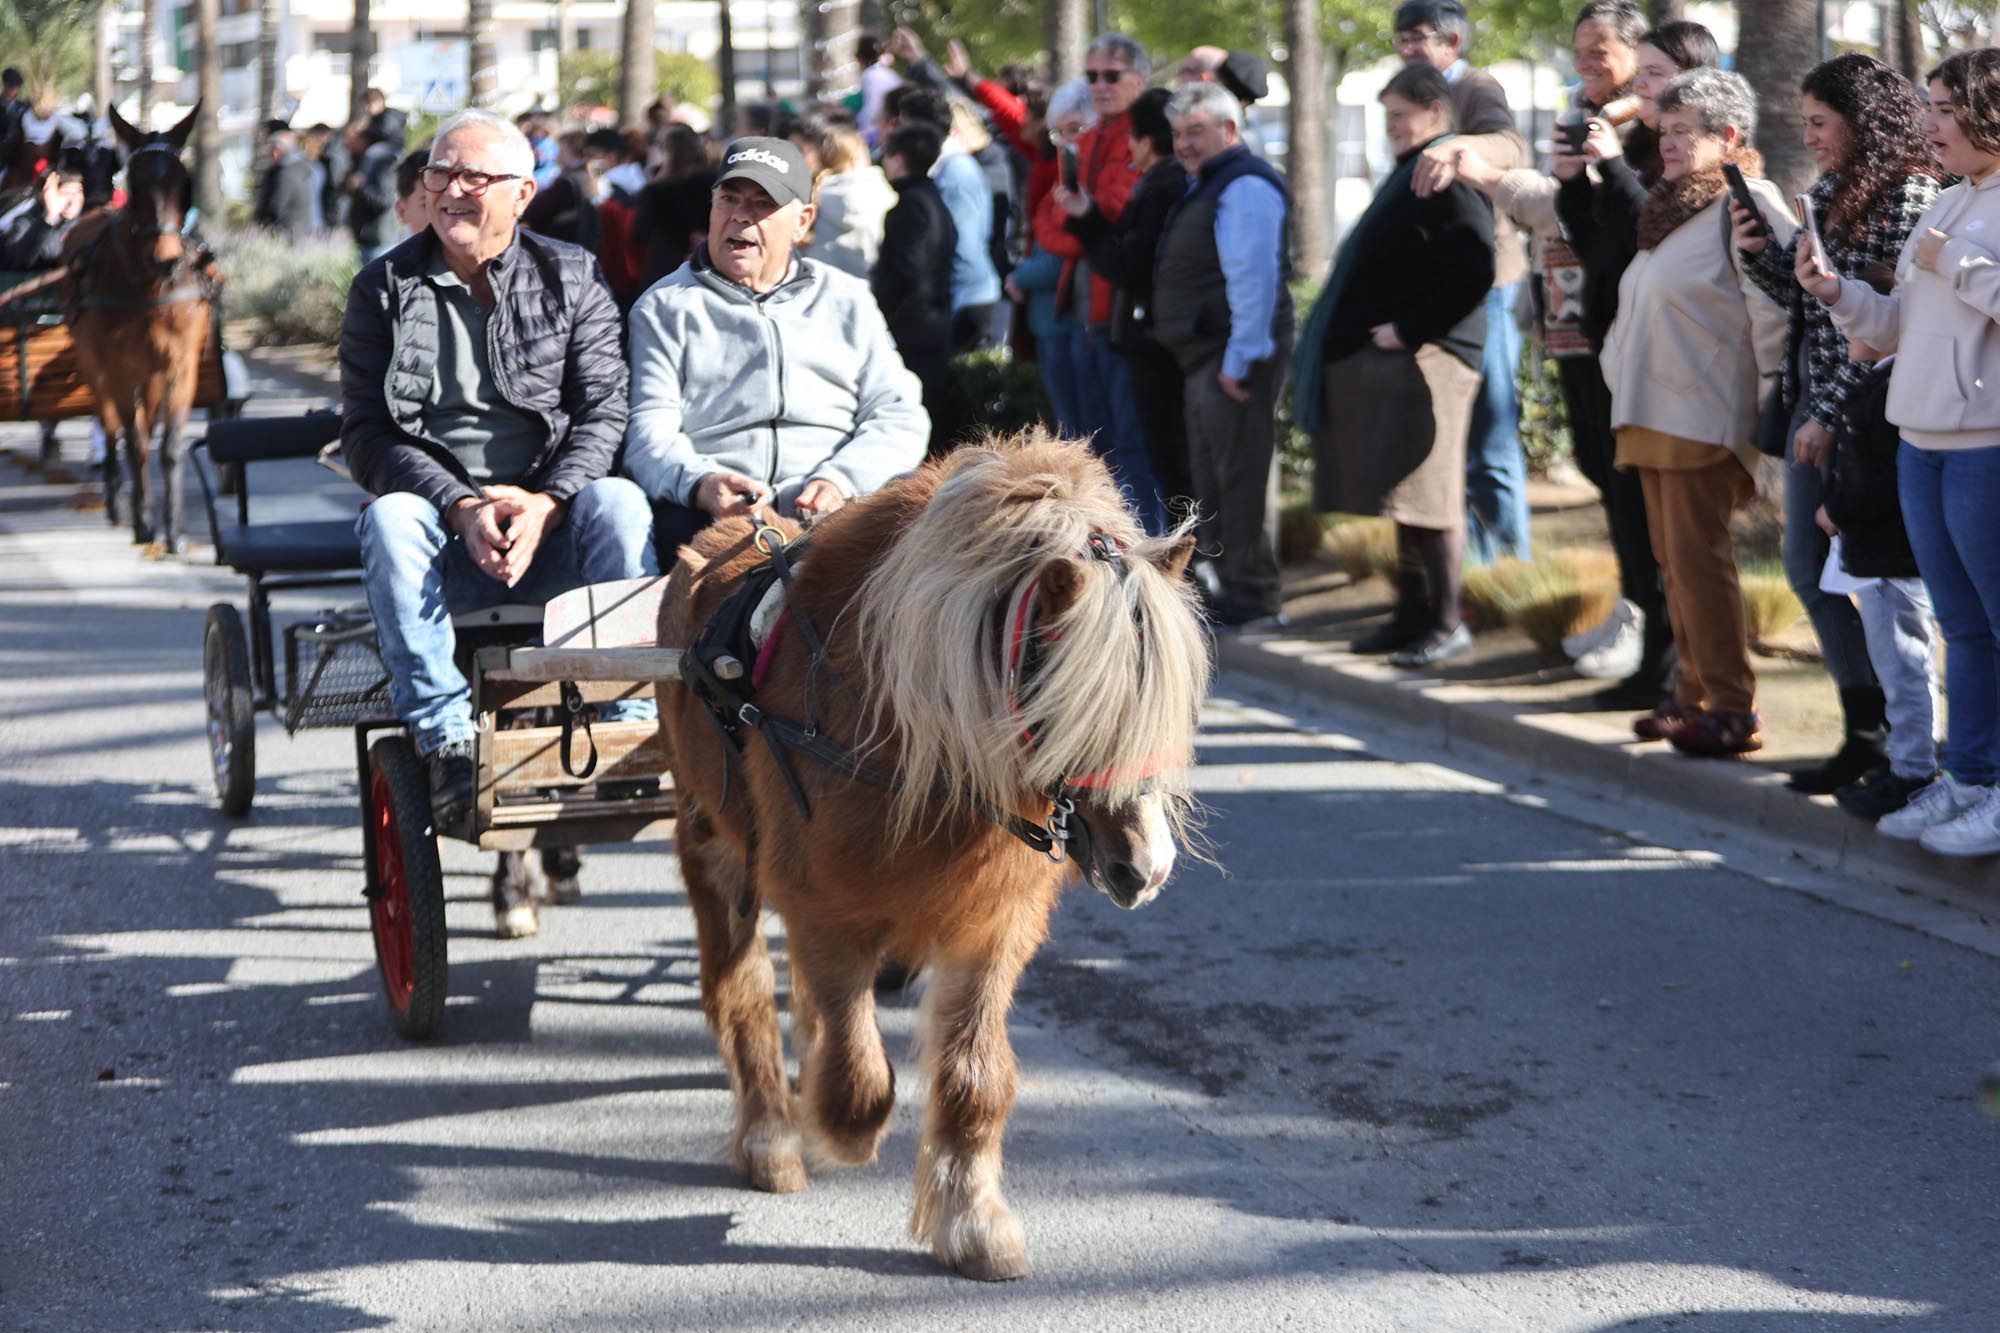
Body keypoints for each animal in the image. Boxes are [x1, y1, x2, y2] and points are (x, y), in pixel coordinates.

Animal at [65, 101, 213, 548]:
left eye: (182, 181)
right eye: (135, 182)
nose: (167, 259)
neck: (150, 288)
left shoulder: (180, 366)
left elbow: (170, 444)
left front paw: (174, 528)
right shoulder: (119, 368)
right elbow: (135, 439)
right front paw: (144, 520)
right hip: (96, 363)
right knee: (112, 426)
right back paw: (119, 499)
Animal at [664, 436, 1208, 1280]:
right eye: (1077, 703)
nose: (1144, 869)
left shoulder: (991, 926)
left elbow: (975, 1074)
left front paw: (972, 1220)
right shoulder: (824, 906)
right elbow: (859, 1081)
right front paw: (836, 1130)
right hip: (714, 843)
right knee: (742, 988)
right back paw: (772, 1136)